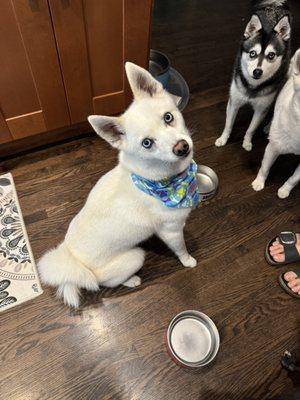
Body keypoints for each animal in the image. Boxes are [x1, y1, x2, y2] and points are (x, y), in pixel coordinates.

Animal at [38, 62, 197, 308]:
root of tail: (75, 262)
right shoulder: (171, 231)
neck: (160, 179)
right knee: (104, 283)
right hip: (135, 257)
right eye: (147, 143)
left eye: (168, 117)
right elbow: (181, 248)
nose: (182, 147)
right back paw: (131, 280)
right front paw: (188, 260)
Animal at [252, 48, 298, 198]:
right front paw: (259, 182)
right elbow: (265, 167)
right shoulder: (272, 148)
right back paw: (269, 127)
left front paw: (285, 190)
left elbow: (294, 178)